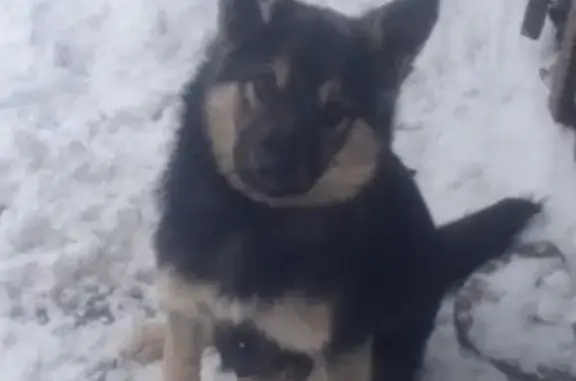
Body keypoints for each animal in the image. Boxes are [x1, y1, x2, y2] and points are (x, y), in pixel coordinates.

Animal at [146, 0, 544, 380]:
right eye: (263, 86)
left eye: (334, 114)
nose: (276, 168)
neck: (256, 220)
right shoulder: (188, 312)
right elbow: (179, 354)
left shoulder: (341, 351)